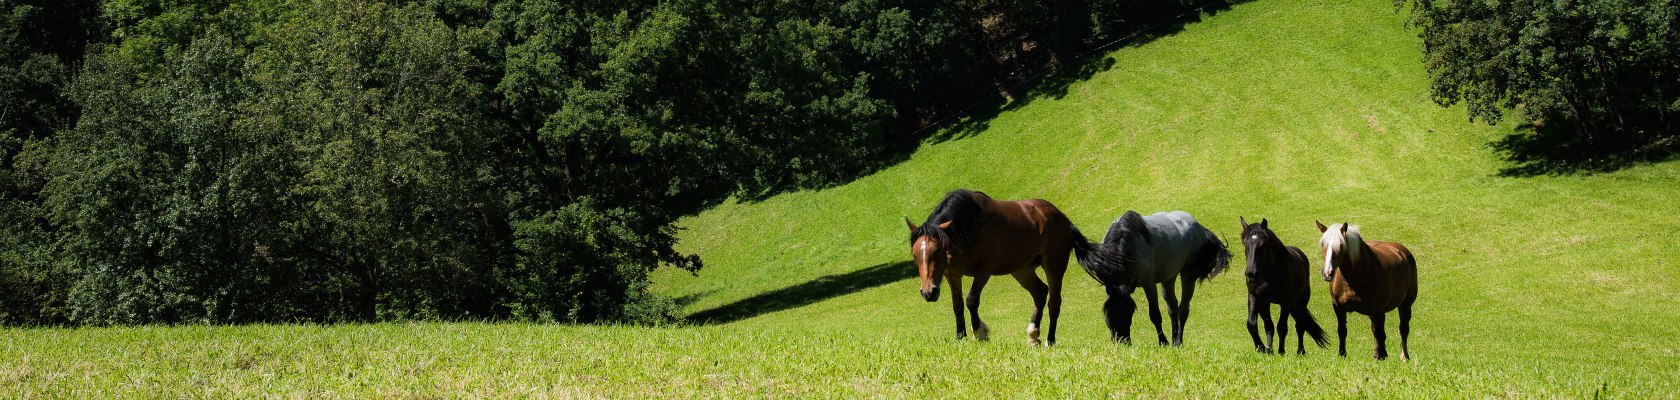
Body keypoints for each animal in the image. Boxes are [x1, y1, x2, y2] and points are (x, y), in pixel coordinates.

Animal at [907, 189, 1115, 344]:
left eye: (937, 251)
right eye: (915, 255)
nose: (928, 292)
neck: (969, 225)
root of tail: (1064, 221)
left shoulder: (984, 271)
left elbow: (971, 300)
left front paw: (980, 333)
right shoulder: (952, 274)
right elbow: (957, 305)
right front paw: (961, 337)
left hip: (1054, 266)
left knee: (1054, 302)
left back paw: (1050, 340)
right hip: (1022, 271)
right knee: (1040, 293)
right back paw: (1033, 336)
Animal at [1075, 210, 1236, 344]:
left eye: (1129, 313)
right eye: (1108, 316)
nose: (1122, 342)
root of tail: (1200, 227)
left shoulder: (1149, 284)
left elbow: (1155, 315)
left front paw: (1163, 342)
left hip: (1188, 276)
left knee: (1183, 309)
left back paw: (1178, 341)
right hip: (1169, 278)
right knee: (1172, 307)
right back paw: (1174, 340)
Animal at [1236, 216, 1323, 354]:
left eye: (1262, 245)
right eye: (1244, 243)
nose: (1250, 273)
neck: (1270, 274)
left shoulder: (1285, 302)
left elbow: (1282, 327)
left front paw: (1281, 351)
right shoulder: (1256, 297)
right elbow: (1255, 324)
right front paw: (1263, 348)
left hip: (1301, 302)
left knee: (1300, 325)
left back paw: (1300, 351)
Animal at [1317, 220, 1411, 361]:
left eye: (1341, 245)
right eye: (1323, 244)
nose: (1327, 273)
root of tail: (1402, 250)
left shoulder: (1378, 310)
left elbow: (1380, 333)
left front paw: (1381, 357)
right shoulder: (1338, 307)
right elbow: (1342, 331)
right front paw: (1342, 354)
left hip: (1405, 304)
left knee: (1403, 329)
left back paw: (1404, 356)